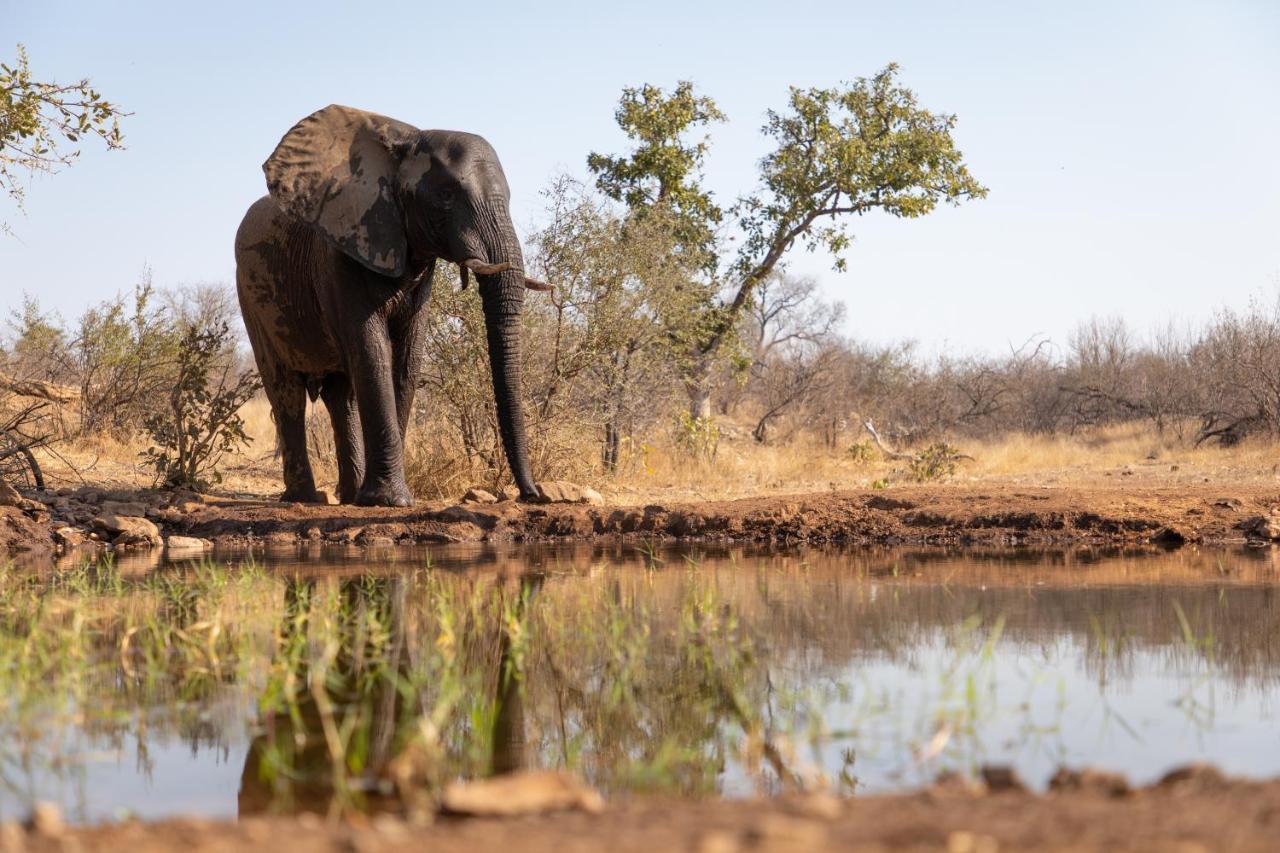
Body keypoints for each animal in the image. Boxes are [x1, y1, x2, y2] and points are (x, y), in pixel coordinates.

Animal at [238, 105, 547, 504]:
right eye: (446, 196)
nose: (532, 494)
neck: (406, 140)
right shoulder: (340, 254)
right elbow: (373, 352)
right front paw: (389, 500)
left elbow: (406, 358)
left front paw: (379, 498)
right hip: (252, 297)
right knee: (285, 389)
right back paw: (306, 498)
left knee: (341, 395)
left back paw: (349, 495)